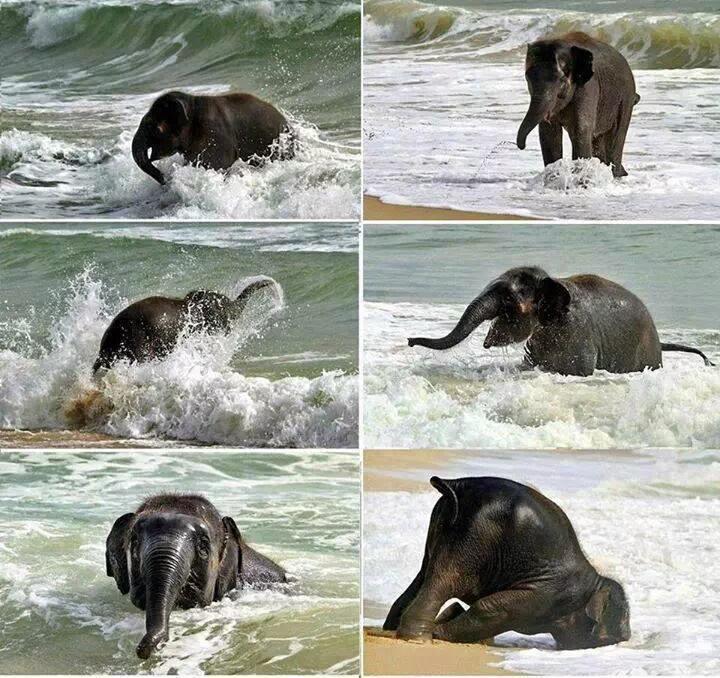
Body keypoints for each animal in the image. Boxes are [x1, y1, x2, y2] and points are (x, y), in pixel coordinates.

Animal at [384, 476, 631, 650]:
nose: (626, 638)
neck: (595, 581)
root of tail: (457, 485)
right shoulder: (547, 595)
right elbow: (492, 608)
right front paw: (440, 631)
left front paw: (451, 620)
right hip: (475, 536)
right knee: (445, 580)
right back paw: (418, 638)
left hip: (443, 527)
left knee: (424, 574)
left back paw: (392, 629)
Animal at [516, 32, 639, 178]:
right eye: (527, 78)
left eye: (562, 81)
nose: (522, 146)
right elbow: (548, 134)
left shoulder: (588, 87)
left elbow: (581, 130)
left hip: (625, 98)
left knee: (616, 133)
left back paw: (616, 173)